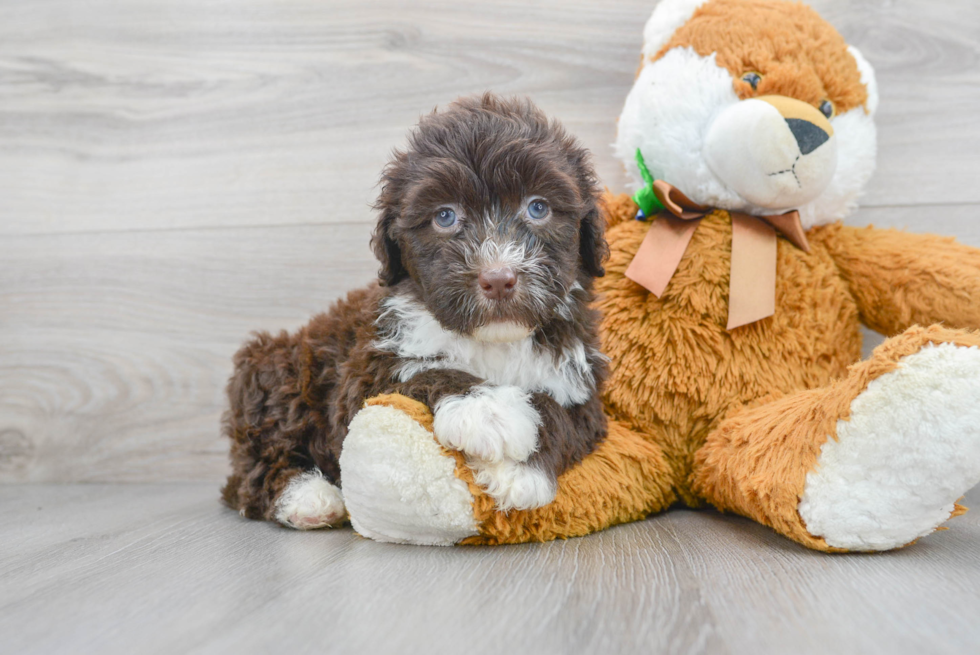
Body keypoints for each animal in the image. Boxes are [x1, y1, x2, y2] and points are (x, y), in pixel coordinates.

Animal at [220, 95, 612, 532]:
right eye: (445, 216)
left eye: (538, 207)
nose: (498, 279)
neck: (493, 339)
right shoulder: (365, 371)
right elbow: (422, 371)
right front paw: (488, 410)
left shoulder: (581, 388)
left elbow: (562, 415)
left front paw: (520, 471)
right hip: (274, 369)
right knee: (252, 472)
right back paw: (308, 497)